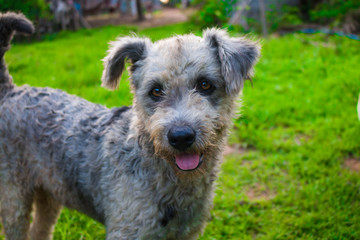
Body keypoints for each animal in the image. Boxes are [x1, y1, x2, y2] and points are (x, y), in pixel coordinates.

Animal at [0, 12, 260, 240]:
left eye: (205, 85)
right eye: (155, 90)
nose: (181, 137)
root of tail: (11, 91)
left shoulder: (187, 232)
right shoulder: (127, 230)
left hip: (49, 193)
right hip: (14, 200)